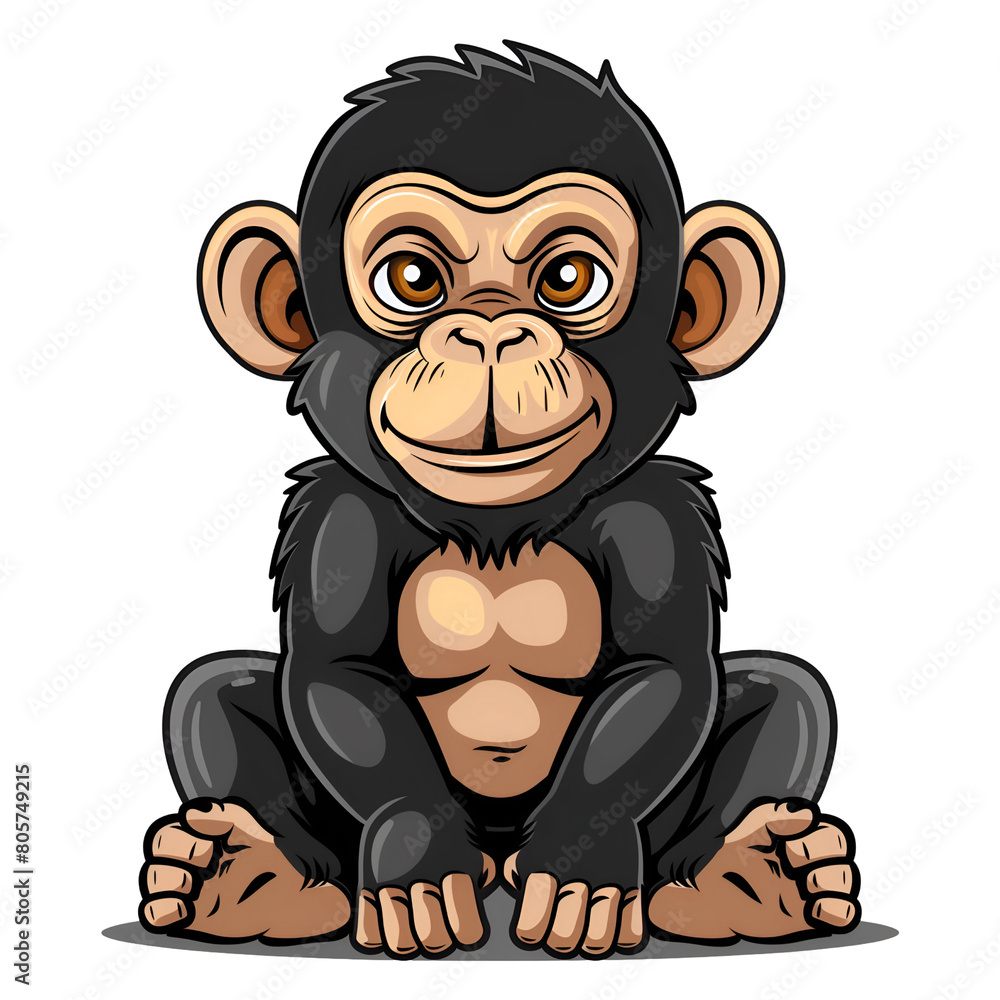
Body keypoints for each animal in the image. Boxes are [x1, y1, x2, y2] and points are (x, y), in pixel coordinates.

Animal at [137, 43, 861, 959]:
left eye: (569, 279)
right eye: (412, 278)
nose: (488, 330)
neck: (495, 529)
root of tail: (499, 861)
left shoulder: (651, 515)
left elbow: (664, 672)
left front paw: (581, 861)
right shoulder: (345, 517)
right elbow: (335, 673)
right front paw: (416, 856)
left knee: (785, 691)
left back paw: (751, 878)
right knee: (213, 689)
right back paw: (248, 878)